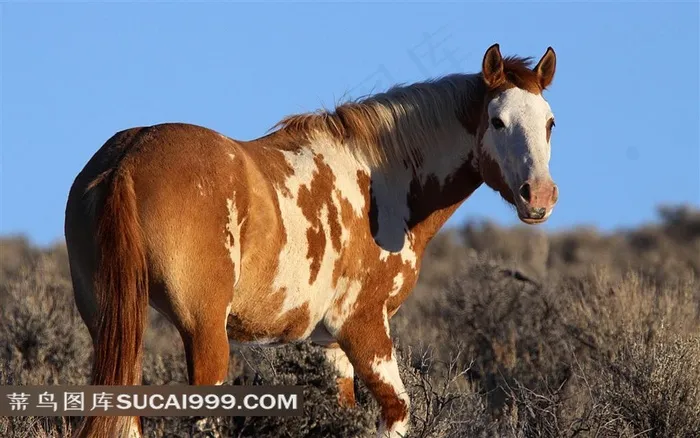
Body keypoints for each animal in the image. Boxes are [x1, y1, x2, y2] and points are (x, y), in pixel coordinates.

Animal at [64, 43, 558, 438]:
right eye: (497, 120)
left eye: (550, 122)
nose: (539, 195)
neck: (381, 179)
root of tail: (128, 161)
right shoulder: (363, 326)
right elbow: (397, 412)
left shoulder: (330, 346)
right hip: (204, 333)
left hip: (113, 322)